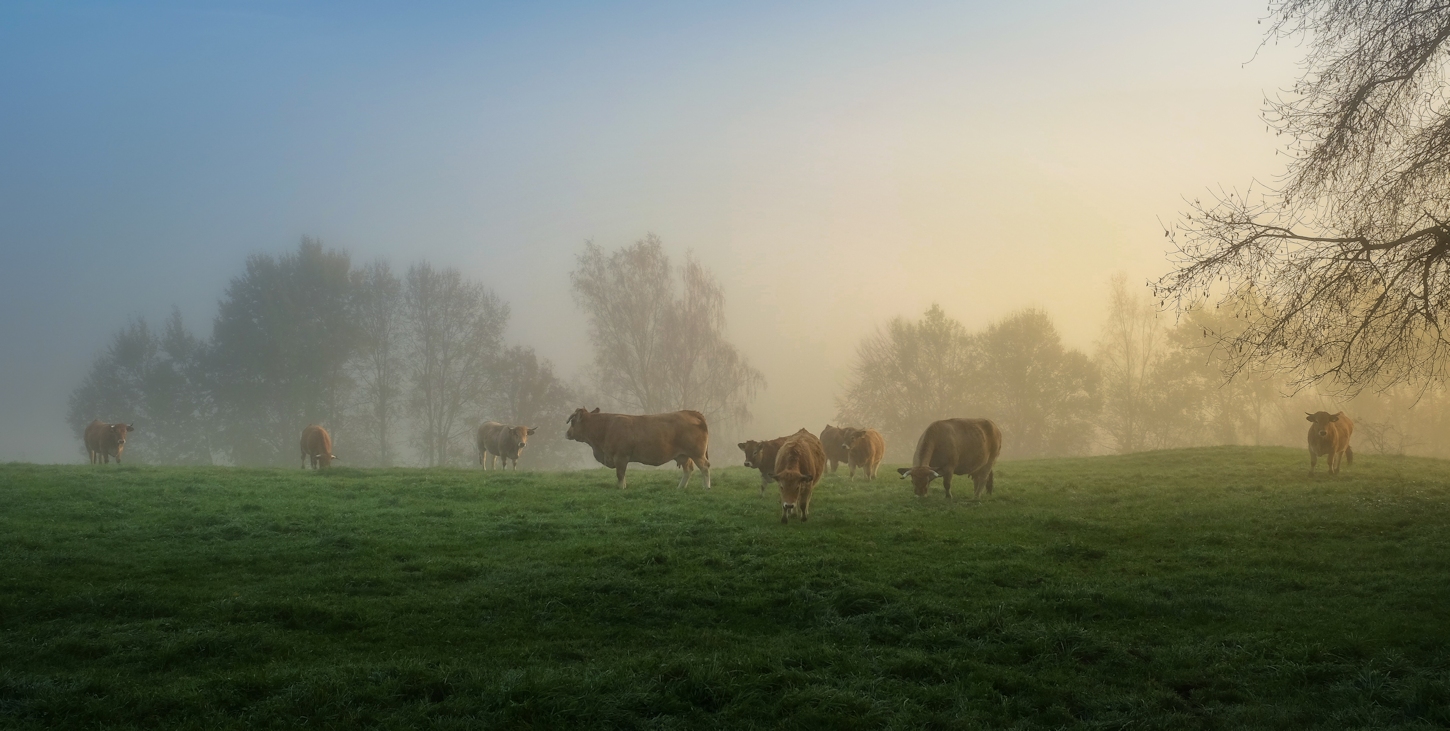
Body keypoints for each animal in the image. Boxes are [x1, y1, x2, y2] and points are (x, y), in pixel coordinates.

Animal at [562, 409, 710, 487]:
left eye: (573, 422)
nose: (567, 434)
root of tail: (690, 413)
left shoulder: (620, 457)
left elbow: (620, 474)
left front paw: (621, 488)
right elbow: (622, 475)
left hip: (697, 453)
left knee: (705, 467)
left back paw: (706, 487)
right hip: (683, 455)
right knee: (688, 470)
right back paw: (680, 488)